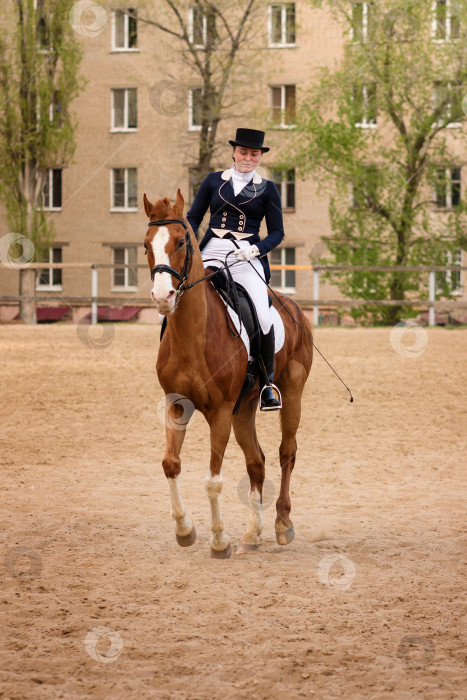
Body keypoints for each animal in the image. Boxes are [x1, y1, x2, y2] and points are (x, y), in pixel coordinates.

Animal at [144, 190, 312, 556]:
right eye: (146, 244)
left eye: (180, 241)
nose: (163, 297)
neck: (194, 335)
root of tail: (295, 309)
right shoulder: (177, 405)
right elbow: (170, 463)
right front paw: (185, 530)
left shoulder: (219, 412)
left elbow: (213, 480)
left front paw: (219, 540)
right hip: (244, 408)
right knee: (256, 461)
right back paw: (252, 533)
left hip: (292, 392)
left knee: (286, 452)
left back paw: (282, 524)